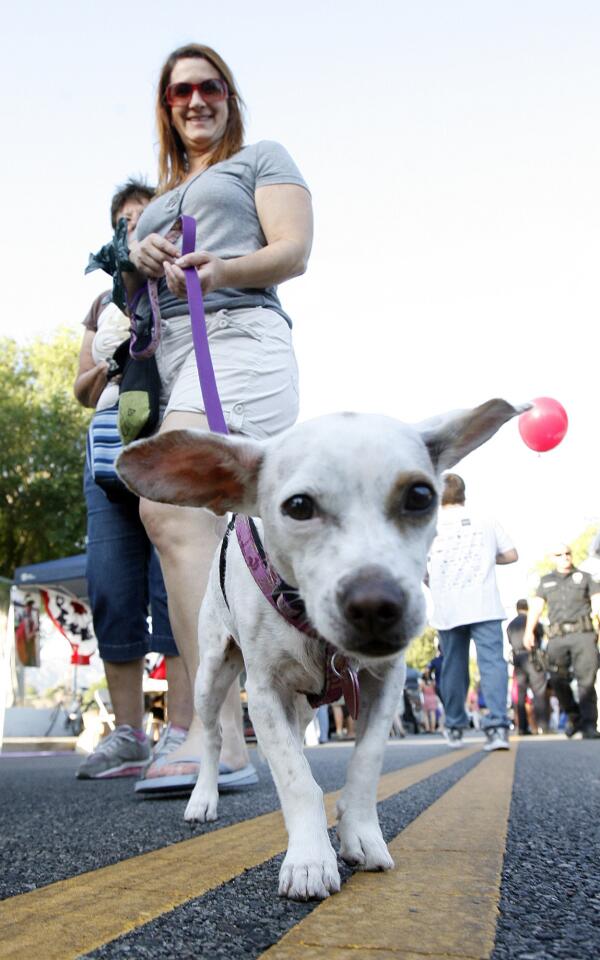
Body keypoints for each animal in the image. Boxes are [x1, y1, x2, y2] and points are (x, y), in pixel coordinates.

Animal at [117, 396, 524, 900]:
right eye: (298, 506)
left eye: (421, 496)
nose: (376, 603)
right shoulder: (264, 694)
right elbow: (297, 781)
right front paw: (310, 858)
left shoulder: (385, 684)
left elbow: (364, 763)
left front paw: (360, 834)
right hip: (212, 673)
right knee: (213, 737)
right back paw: (204, 796)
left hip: (304, 706)